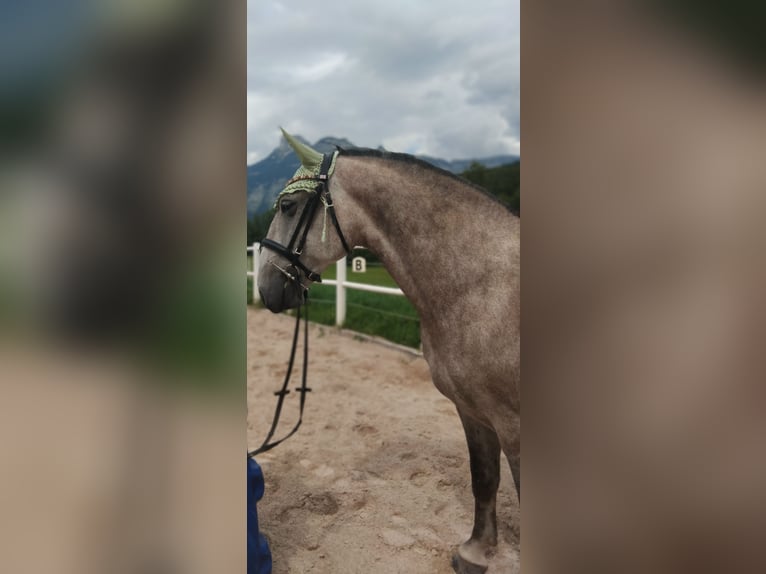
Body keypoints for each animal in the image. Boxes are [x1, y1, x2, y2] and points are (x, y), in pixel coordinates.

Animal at [260, 130, 520, 574]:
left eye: (288, 206)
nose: (264, 287)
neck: (482, 287)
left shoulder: (514, 424)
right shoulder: (474, 410)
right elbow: (484, 476)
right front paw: (475, 553)